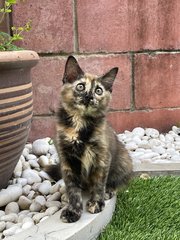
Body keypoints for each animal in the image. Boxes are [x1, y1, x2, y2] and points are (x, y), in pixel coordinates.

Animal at [45, 56, 133, 223]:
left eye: (98, 90)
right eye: (80, 86)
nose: (89, 96)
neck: (80, 122)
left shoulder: (102, 157)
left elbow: (99, 183)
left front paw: (97, 202)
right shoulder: (67, 159)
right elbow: (72, 187)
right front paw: (73, 210)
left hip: (123, 161)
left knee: (116, 181)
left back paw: (109, 190)